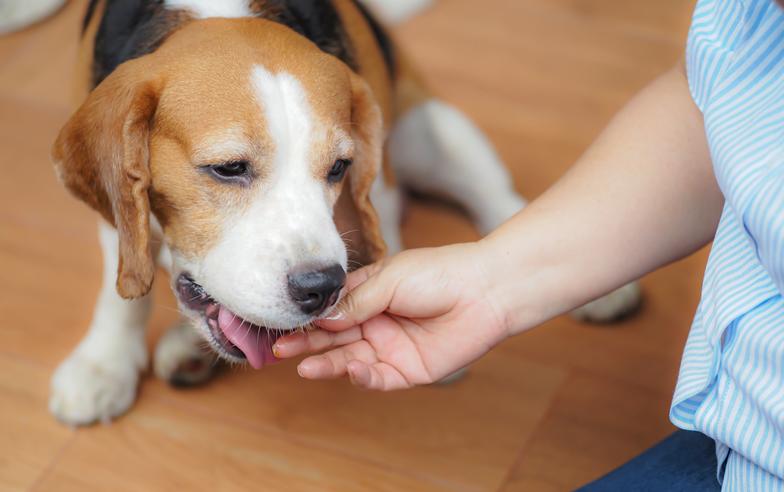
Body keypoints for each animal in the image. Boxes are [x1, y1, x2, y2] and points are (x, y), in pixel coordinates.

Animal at [47, 0, 636, 424]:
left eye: (339, 167)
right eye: (228, 168)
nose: (322, 287)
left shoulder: (382, 178)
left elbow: (388, 229)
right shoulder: (120, 216)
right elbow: (121, 285)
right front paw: (104, 364)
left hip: (429, 131)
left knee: (498, 198)